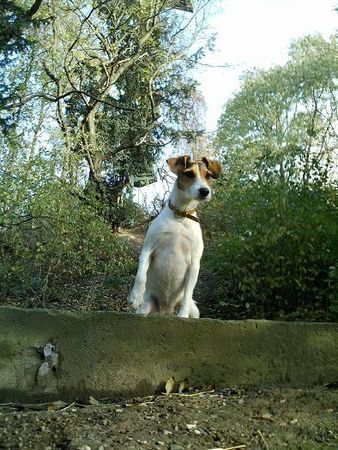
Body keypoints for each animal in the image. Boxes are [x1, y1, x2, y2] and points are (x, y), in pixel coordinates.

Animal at [129, 156, 222, 318]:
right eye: (189, 174)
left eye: (208, 175)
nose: (205, 191)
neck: (181, 215)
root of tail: (166, 310)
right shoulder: (148, 249)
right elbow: (141, 274)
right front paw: (136, 295)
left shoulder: (194, 264)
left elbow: (188, 294)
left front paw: (183, 316)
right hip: (148, 306)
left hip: (194, 309)